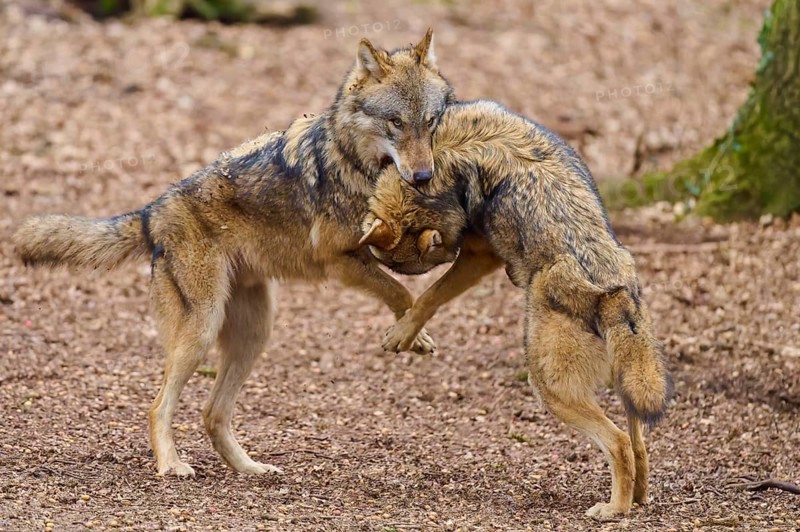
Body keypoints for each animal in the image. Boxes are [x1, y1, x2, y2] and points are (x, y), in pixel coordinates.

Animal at [13, 30, 453, 477]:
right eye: (396, 123)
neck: (356, 162)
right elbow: (400, 290)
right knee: (159, 407)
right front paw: (414, 336)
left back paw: (251, 469)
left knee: (212, 413)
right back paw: (172, 465)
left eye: (429, 122)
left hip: (253, 335)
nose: (423, 176)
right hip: (202, 330)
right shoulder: (340, 260)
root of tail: (151, 212)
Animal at [360, 100, 673, 518]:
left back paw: (613, 510)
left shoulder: (479, 256)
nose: (448, 249)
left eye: (418, 265)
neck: (442, 154)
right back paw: (638, 499)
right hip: (631, 385)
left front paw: (403, 334)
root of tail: (610, 288)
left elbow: (429, 297)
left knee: (619, 443)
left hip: (549, 388)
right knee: (640, 447)